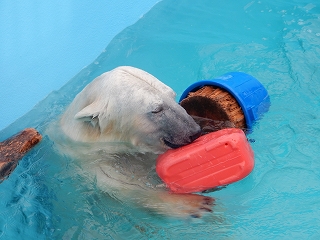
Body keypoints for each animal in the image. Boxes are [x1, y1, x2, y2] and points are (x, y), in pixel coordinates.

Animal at [57, 66, 214, 218]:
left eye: (172, 95)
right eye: (156, 110)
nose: (194, 132)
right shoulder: (96, 164)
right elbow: (124, 188)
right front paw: (194, 204)